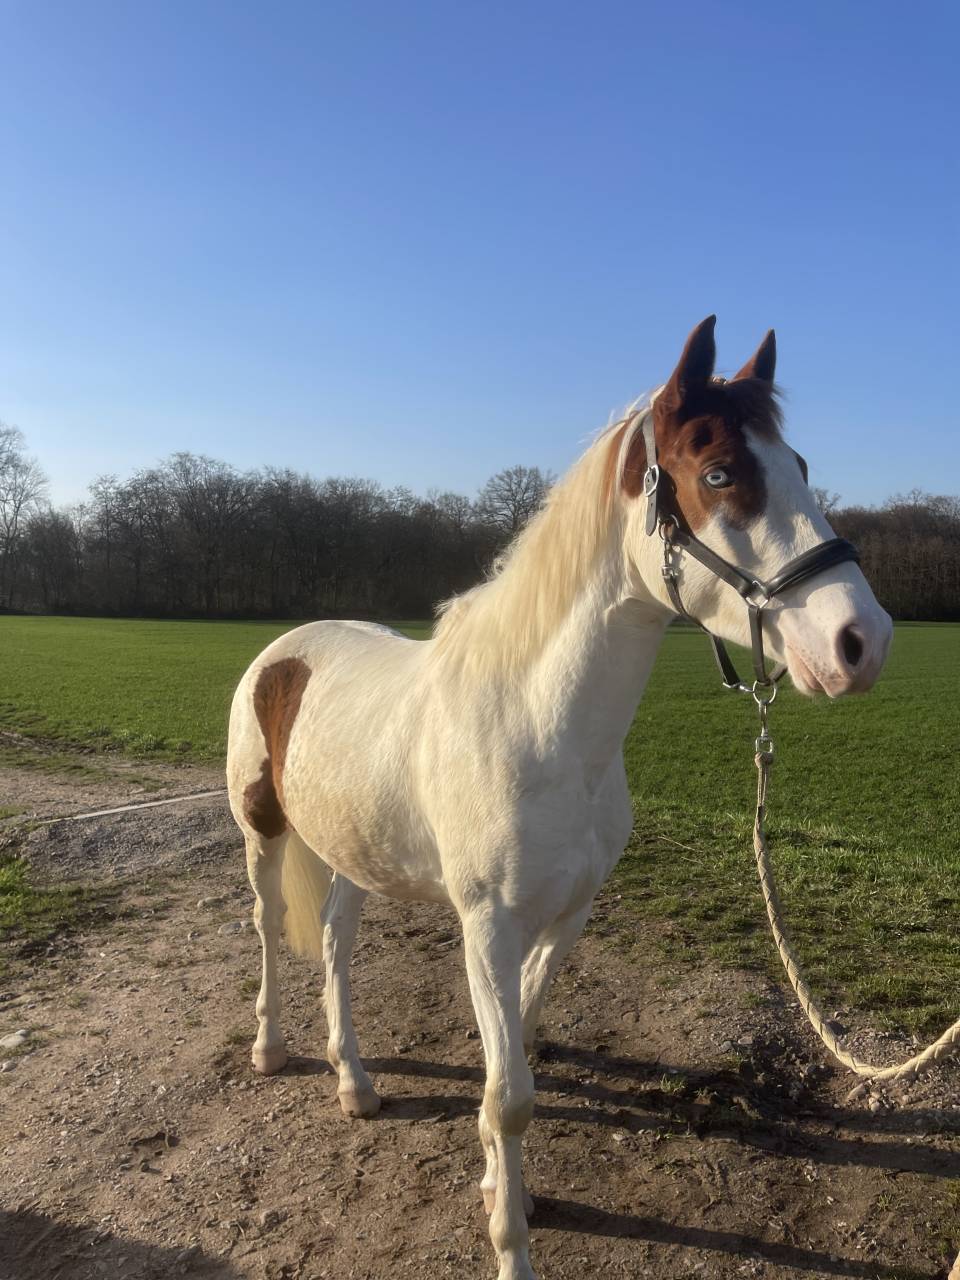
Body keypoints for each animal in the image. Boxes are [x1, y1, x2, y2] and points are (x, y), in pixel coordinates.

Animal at [226, 316, 893, 1280]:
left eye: (799, 462)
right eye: (719, 473)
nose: (861, 642)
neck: (539, 727)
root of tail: (286, 650)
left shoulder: (565, 916)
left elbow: (518, 1060)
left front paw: (500, 1185)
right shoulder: (487, 926)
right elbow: (510, 1094)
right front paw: (511, 1242)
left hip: (351, 849)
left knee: (336, 945)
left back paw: (355, 1082)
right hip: (264, 834)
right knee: (272, 930)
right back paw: (272, 1048)